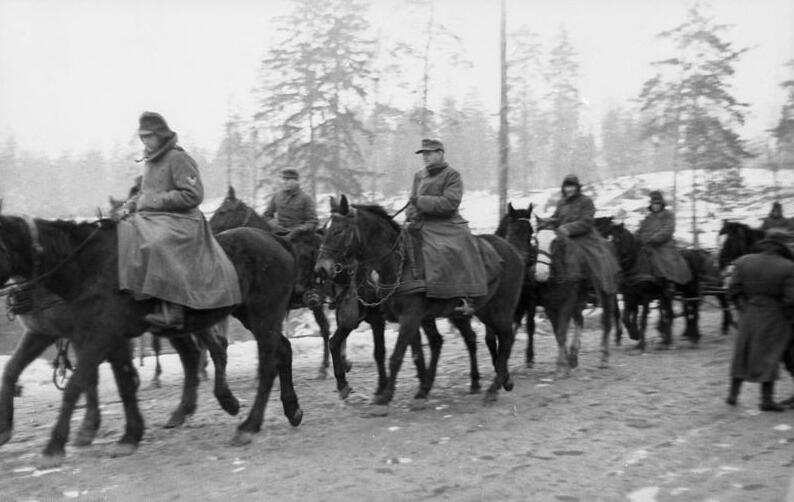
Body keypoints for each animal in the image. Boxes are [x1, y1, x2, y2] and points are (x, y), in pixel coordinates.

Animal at [0, 210, 300, 464]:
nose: (14, 301)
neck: (89, 266)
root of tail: (276, 240)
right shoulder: (69, 335)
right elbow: (14, 371)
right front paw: (129, 435)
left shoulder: (98, 336)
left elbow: (77, 385)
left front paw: (55, 445)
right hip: (250, 317)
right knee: (277, 351)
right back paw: (290, 409)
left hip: (264, 317)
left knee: (264, 365)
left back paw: (248, 425)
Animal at [312, 195, 524, 404]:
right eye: (322, 231)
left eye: (338, 231)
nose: (321, 269)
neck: (398, 264)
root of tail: (512, 250)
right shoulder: (402, 319)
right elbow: (410, 353)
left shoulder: (406, 318)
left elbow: (394, 356)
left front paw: (385, 393)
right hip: (480, 310)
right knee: (466, 340)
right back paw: (495, 380)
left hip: (500, 308)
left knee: (504, 337)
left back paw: (493, 387)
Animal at [498, 202, 616, 374]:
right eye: (536, 239)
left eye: (530, 233)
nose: (540, 273)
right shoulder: (545, 306)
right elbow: (556, 331)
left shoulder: (560, 303)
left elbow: (560, 331)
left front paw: (561, 365)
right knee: (579, 321)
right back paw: (573, 357)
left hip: (606, 295)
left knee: (606, 322)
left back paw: (604, 358)